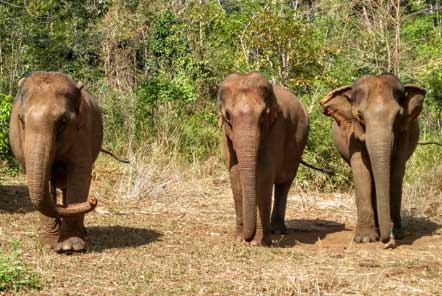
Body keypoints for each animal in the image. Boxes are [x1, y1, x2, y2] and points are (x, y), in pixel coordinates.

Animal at [9, 71, 102, 252]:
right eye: (21, 119)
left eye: (63, 121)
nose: (93, 200)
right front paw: (49, 245)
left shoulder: (82, 133)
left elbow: (80, 174)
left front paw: (70, 247)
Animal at [219, 71, 310, 245]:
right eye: (228, 115)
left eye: (263, 115)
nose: (247, 238)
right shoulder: (225, 133)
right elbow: (235, 172)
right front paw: (239, 239)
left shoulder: (277, 126)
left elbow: (265, 173)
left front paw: (258, 242)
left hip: (297, 147)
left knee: (284, 183)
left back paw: (278, 231)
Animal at [320, 73, 426, 243]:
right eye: (360, 115)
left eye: (398, 116)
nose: (385, 240)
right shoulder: (352, 134)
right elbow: (362, 172)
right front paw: (364, 239)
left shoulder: (404, 133)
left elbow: (396, 174)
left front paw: (396, 235)